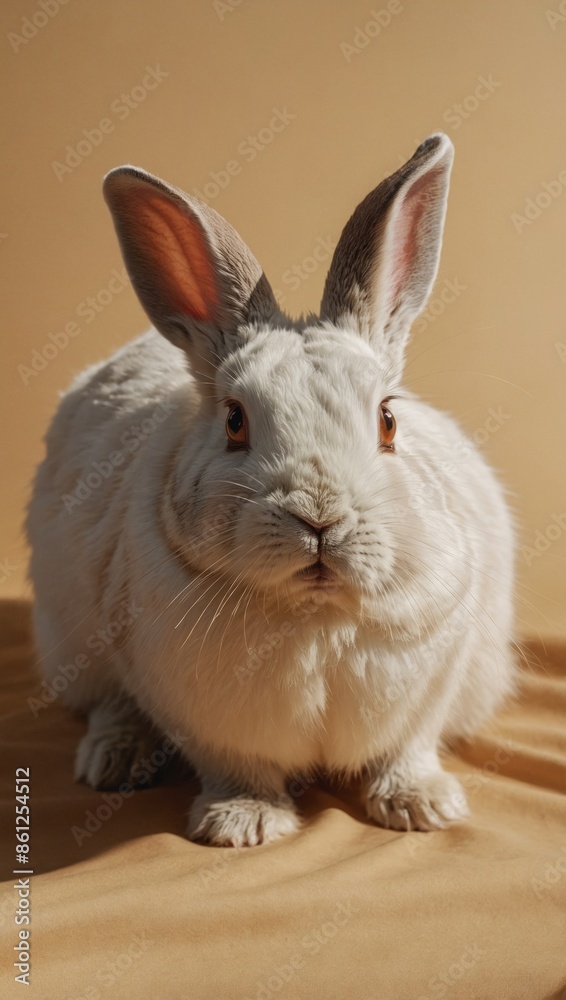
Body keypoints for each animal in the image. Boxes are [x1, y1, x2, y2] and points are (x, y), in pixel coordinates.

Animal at [26, 133, 516, 847]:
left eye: (388, 420)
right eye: (234, 421)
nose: (320, 519)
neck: (316, 617)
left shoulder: (430, 691)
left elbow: (407, 749)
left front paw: (422, 807)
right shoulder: (200, 717)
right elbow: (236, 766)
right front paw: (241, 824)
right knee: (108, 704)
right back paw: (112, 762)